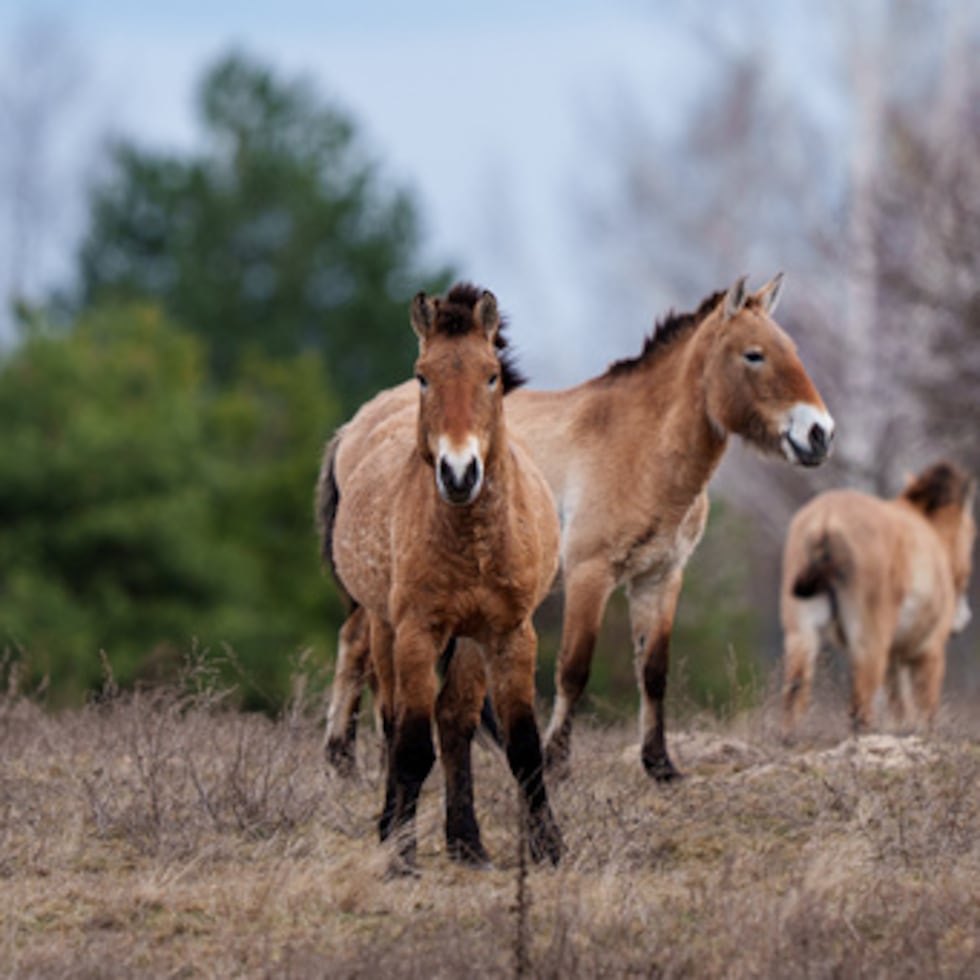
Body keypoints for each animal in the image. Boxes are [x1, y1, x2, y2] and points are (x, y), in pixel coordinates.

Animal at [320, 283, 562, 872]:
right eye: (424, 375)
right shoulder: (417, 632)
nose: (458, 473)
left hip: (468, 642)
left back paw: (467, 843)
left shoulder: (509, 634)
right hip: (385, 628)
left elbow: (522, 746)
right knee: (392, 720)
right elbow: (410, 744)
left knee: (454, 723)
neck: (471, 540)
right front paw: (401, 856)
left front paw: (548, 847)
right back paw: (394, 829)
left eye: (491, 375)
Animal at [322, 274, 835, 780]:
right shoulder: (591, 573)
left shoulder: (660, 576)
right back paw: (353, 761)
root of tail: (355, 425)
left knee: (356, 644)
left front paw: (660, 764)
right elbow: (574, 668)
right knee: (362, 648)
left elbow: (654, 671)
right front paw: (555, 761)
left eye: (789, 348)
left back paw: (349, 760)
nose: (820, 434)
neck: (640, 445)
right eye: (754, 354)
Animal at [781, 461, 976, 735]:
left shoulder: (895, 658)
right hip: (869, 643)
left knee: (795, 689)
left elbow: (900, 705)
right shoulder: (930, 649)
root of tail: (825, 520)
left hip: (800, 633)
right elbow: (926, 708)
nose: (965, 617)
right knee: (860, 705)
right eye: (972, 531)